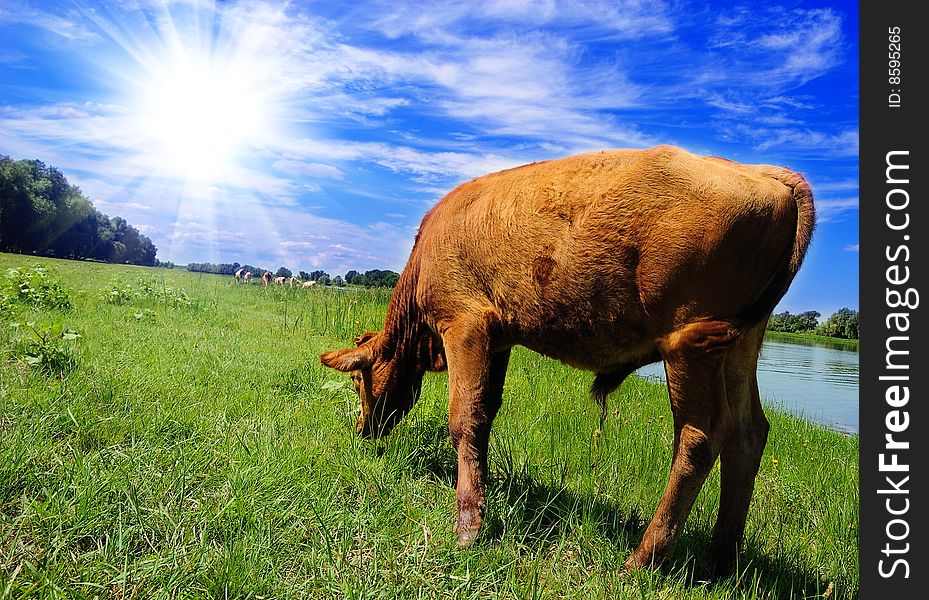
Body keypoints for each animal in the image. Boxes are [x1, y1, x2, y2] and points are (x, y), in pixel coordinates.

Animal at [320, 146, 812, 576]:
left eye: (359, 380)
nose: (363, 430)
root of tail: (770, 175)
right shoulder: (499, 340)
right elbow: (486, 414)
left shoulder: (465, 325)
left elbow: (464, 418)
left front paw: (468, 528)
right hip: (740, 346)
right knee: (747, 434)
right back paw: (720, 561)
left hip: (688, 343)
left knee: (699, 438)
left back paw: (643, 559)